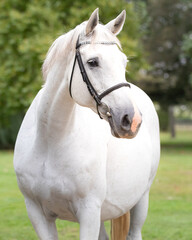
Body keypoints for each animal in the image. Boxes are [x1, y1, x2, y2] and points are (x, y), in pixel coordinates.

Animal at [13, 8, 160, 239]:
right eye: (93, 62)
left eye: (124, 62)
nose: (132, 119)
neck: (50, 142)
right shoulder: (37, 214)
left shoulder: (89, 212)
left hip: (140, 200)